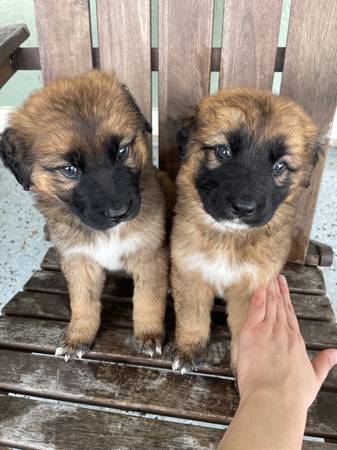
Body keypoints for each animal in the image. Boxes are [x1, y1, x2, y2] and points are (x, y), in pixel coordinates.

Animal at [0, 69, 168, 358]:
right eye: (69, 170)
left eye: (122, 151)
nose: (119, 212)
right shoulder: (79, 260)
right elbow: (83, 302)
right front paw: (79, 336)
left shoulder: (148, 254)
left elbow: (147, 299)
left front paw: (149, 333)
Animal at [172, 88, 318, 372]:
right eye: (223, 151)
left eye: (280, 166)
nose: (243, 208)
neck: (228, 238)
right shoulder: (190, 273)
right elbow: (192, 317)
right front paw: (188, 351)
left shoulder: (252, 288)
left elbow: (246, 333)